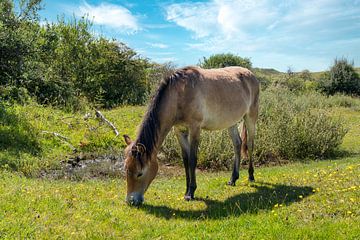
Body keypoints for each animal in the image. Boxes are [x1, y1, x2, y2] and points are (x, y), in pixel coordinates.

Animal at [123, 66, 258, 205]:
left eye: (140, 173)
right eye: (126, 170)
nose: (130, 201)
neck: (180, 95)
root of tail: (250, 74)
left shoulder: (195, 129)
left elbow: (193, 159)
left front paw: (191, 192)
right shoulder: (179, 131)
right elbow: (186, 160)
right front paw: (187, 189)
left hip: (251, 117)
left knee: (250, 145)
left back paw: (251, 176)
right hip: (231, 122)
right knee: (237, 144)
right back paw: (233, 179)